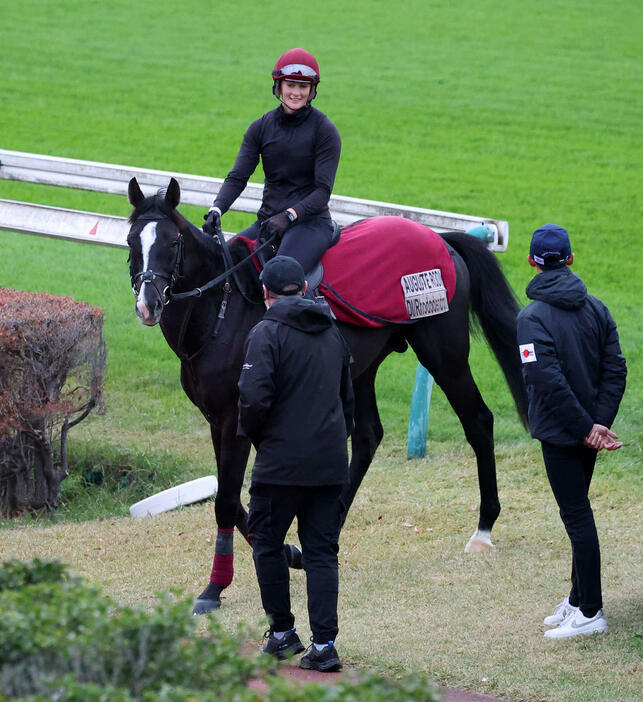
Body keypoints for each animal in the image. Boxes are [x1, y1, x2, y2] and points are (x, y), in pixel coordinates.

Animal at [127, 179, 528, 612]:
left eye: (172, 242)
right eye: (132, 240)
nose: (148, 304)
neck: (222, 309)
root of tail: (440, 240)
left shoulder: (237, 420)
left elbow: (226, 500)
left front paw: (215, 588)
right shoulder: (218, 420)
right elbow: (233, 499)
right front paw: (287, 551)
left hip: (444, 355)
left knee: (478, 422)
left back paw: (484, 528)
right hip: (363, 368)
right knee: (368, 437)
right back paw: (330, 528)